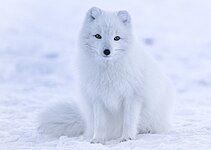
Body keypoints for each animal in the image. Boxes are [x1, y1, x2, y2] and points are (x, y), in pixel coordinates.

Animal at [38, 6, 176, 143]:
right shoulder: (97, 98)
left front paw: (127, 138)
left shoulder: (132, 96)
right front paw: (97, 139)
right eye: (98, 36)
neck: (108, 71)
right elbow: (100, 124)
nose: (106, 51)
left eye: (117, 38)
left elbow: (128, 121)